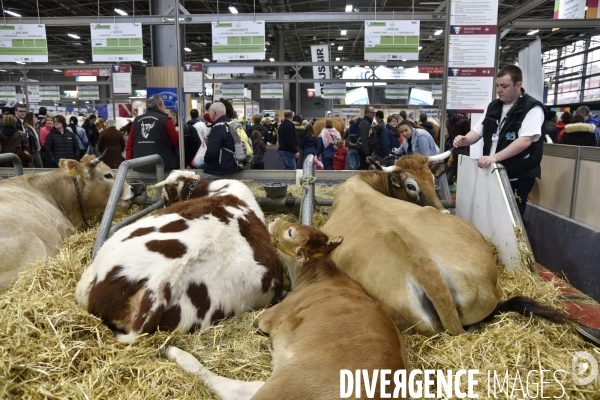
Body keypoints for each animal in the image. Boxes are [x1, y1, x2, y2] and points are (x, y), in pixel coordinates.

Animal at [165, 219, 408, 400]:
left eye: (290, 232)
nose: (275, 219)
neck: (320, 275)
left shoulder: (270, 316)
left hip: (291, 381)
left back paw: (174, 352)